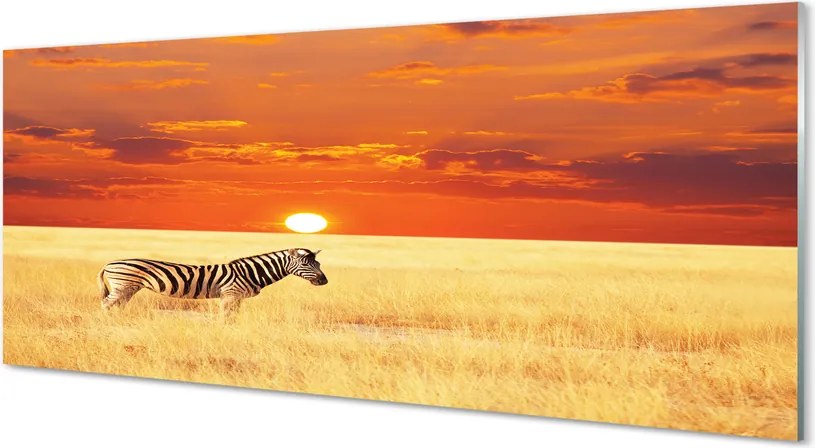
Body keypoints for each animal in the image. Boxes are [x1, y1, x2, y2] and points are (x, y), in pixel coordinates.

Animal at [97, 248, 327, 317]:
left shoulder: (236, 298)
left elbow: (234, 317)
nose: (324, 280)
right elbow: (226, 318)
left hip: (129, 288)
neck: (250, 273)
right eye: (306, 264)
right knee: (106, 304)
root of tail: (108, 263)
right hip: (122, 285)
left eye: (318, 263)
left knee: (117, 305)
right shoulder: (230, 295)